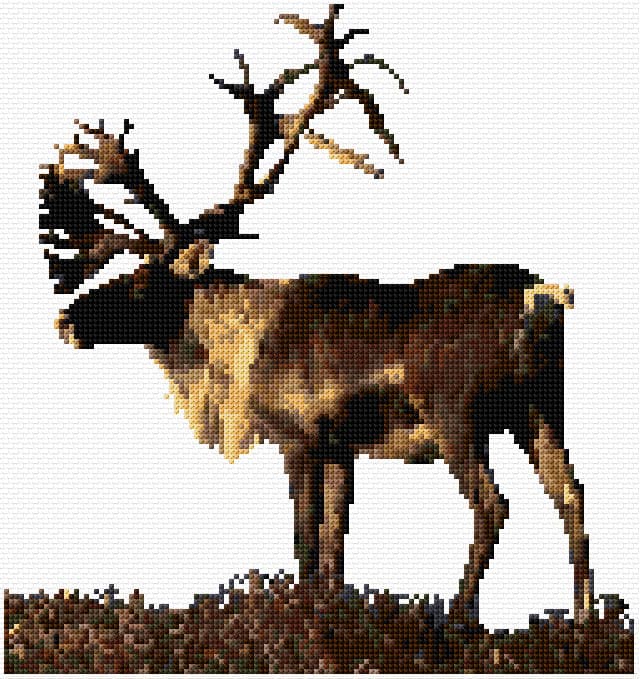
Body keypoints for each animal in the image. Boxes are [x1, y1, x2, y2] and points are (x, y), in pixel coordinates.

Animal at [40, 4, 593, 625]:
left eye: (142, 280)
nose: (66, 322)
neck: (234, 352)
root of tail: (540, 297)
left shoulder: (297, 437)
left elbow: (305, 542)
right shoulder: (340, 448)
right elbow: (334, 548)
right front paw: (327, 617)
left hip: (457, 412)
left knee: (493, 505)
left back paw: (456, 618)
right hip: (540, 405)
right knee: (572, 498)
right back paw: (585, 622)